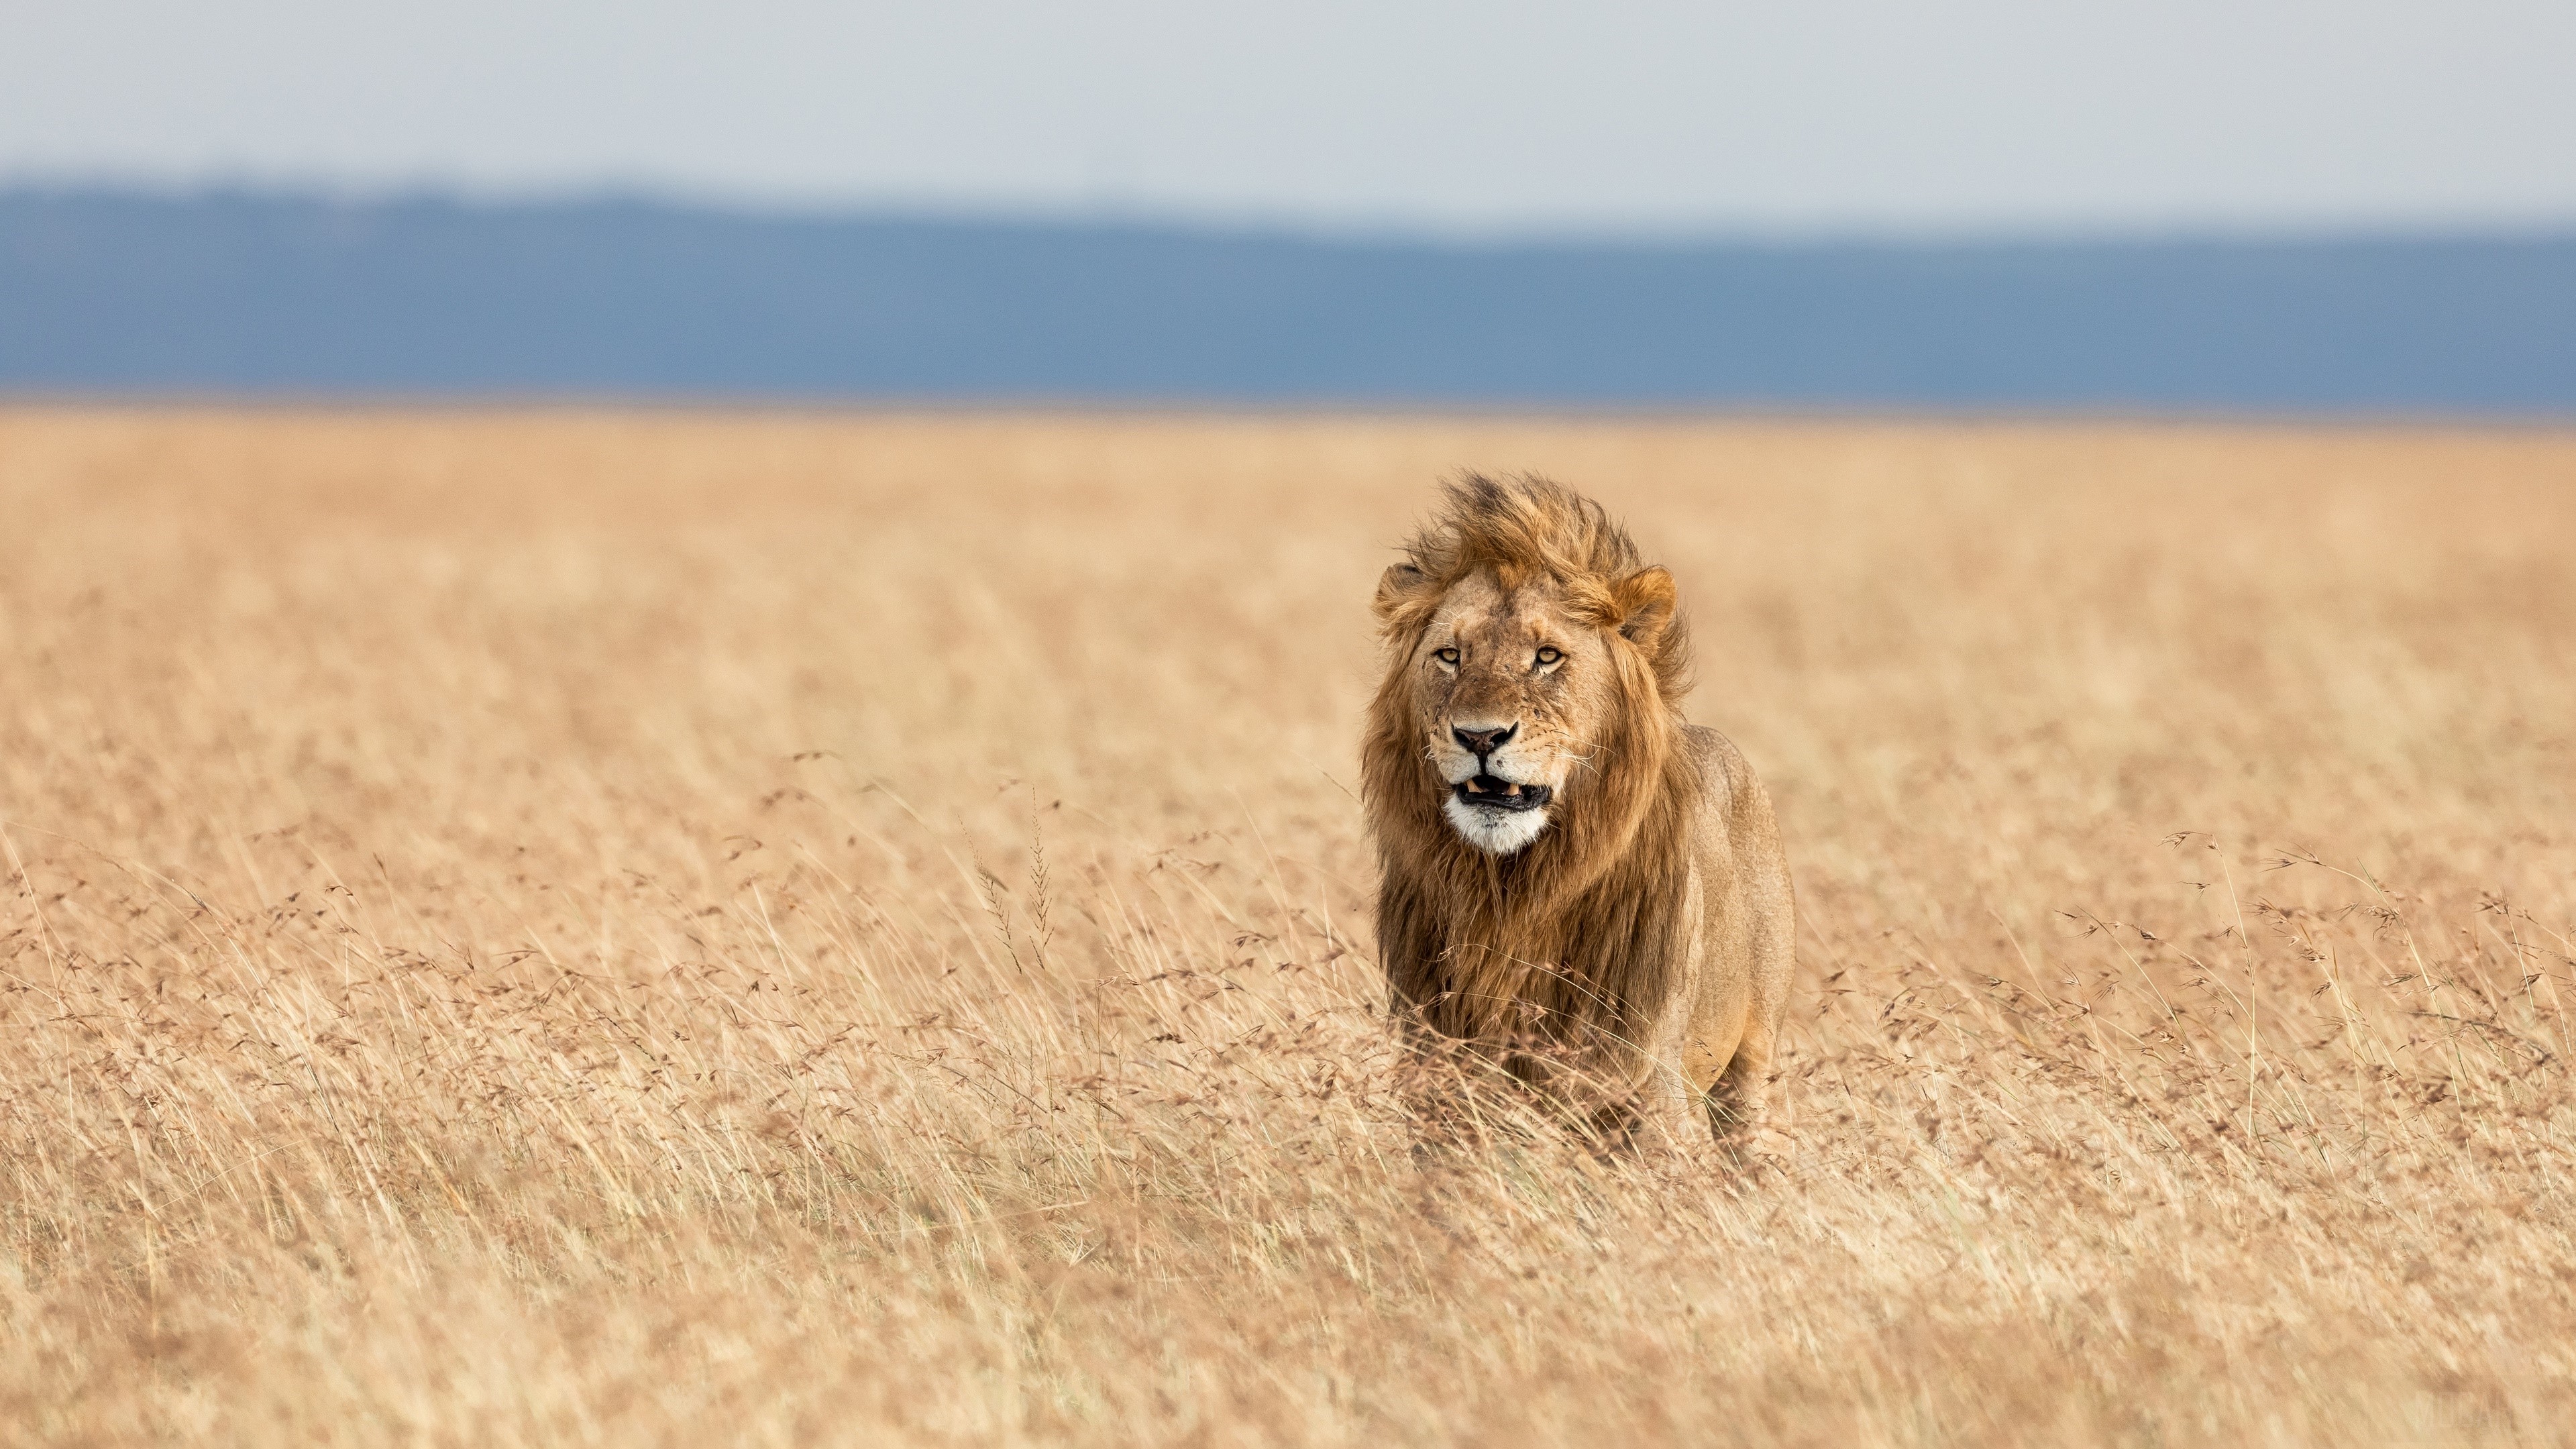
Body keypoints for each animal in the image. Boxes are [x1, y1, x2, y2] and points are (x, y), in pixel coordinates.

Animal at [1363, 473, 1796, 1148]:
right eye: (1450, 656)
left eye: (1547, 656)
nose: (1480, 736)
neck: (1510, 892)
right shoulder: (1441, 1078)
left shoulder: (1647, 1084)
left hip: (1754, 1062)